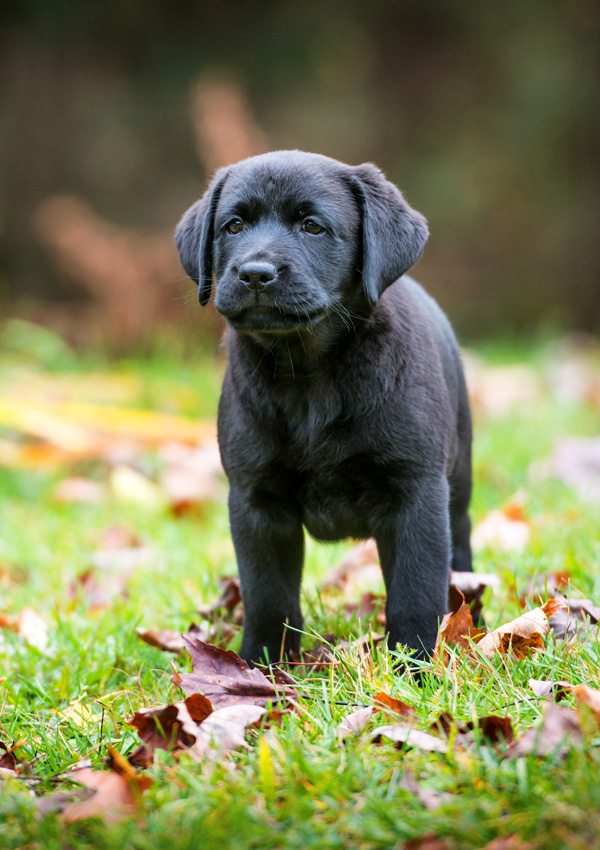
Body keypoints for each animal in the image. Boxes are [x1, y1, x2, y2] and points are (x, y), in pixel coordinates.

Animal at [175, 149, 474, 664]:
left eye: (312, 226)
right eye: (233, 226)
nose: (254, 273)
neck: (307, 374)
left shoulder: (416, 493)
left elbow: (415, 593)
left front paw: (414, 668)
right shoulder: (256, 501)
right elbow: (268, 595)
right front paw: (261, 666)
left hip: (459, 484)